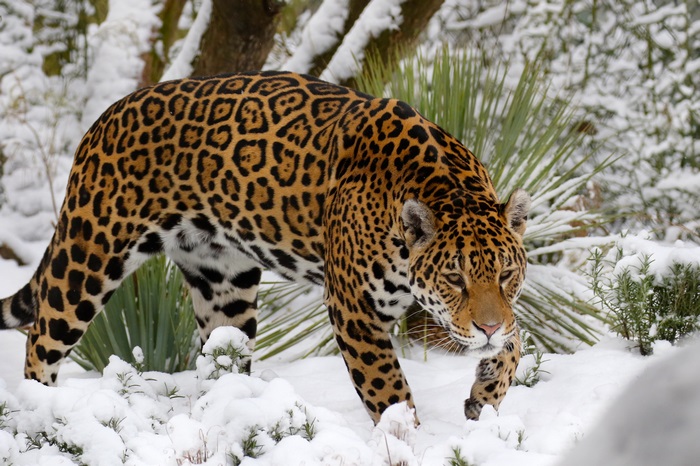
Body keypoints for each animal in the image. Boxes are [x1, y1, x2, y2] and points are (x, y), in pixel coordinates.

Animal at [0, 70, 530, 424]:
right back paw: (38, 413)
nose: (486, 328)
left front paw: (486, 394)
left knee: (220, 354)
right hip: (89, 258)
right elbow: (388, 388)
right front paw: (407, 439)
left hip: (224, 283)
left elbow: (517, 343)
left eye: (506, 274)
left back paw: (229, 408)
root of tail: (102, 119)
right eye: (454, 278)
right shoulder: (354, 309)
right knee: (39, 339)